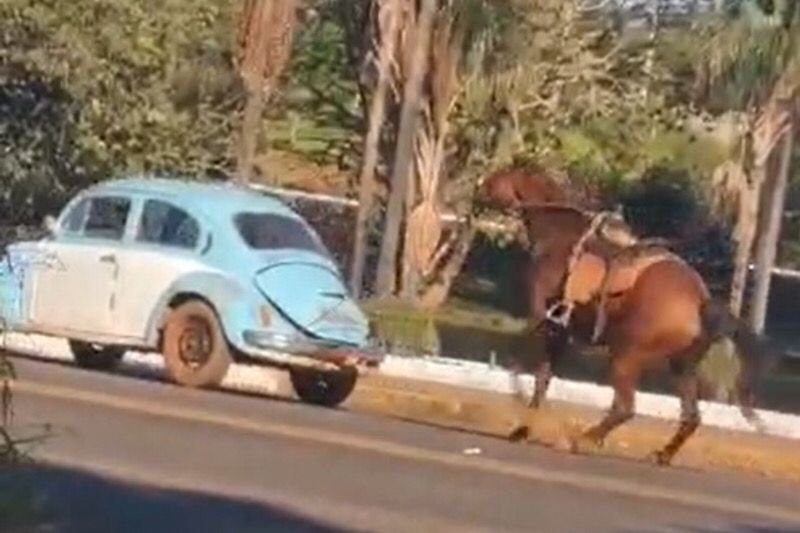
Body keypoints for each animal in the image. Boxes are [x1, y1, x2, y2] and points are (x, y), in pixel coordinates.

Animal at [478, 168, 764, 464]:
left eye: (497, 177)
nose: (479, 187)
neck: (558, 236)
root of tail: (701, 302)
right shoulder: (561, 331)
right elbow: (542, 379)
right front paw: (522, 429)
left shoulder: (543, 321)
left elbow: (519, 366)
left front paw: (522, 417)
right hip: (681, 366)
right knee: (690, 417)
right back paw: (661, 454)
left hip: (627, 355)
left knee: (625, 408)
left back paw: (582, 439)